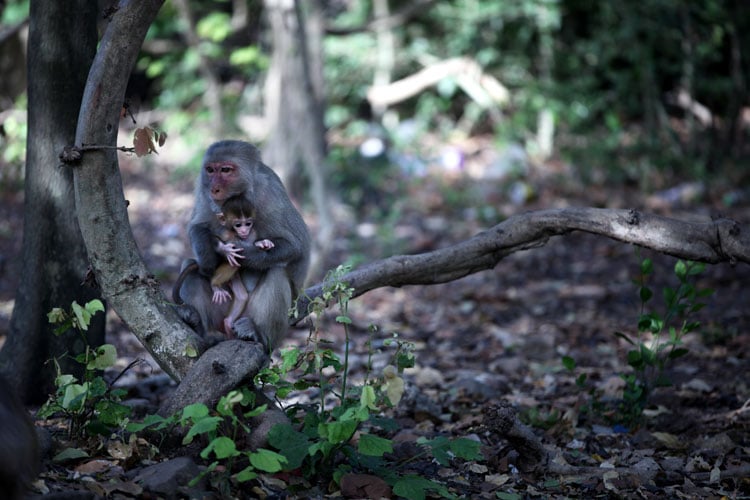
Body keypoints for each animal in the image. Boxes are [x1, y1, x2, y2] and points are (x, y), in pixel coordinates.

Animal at [213, 193, 274, 338]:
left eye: (248, 223)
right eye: (238, 225)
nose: (244, 230)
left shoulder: (253, 232)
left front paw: (263, 243)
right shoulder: (225, 233)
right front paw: (225, 250)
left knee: (242, 296)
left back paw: (228, 322)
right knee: (234, 263)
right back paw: (215, 285)